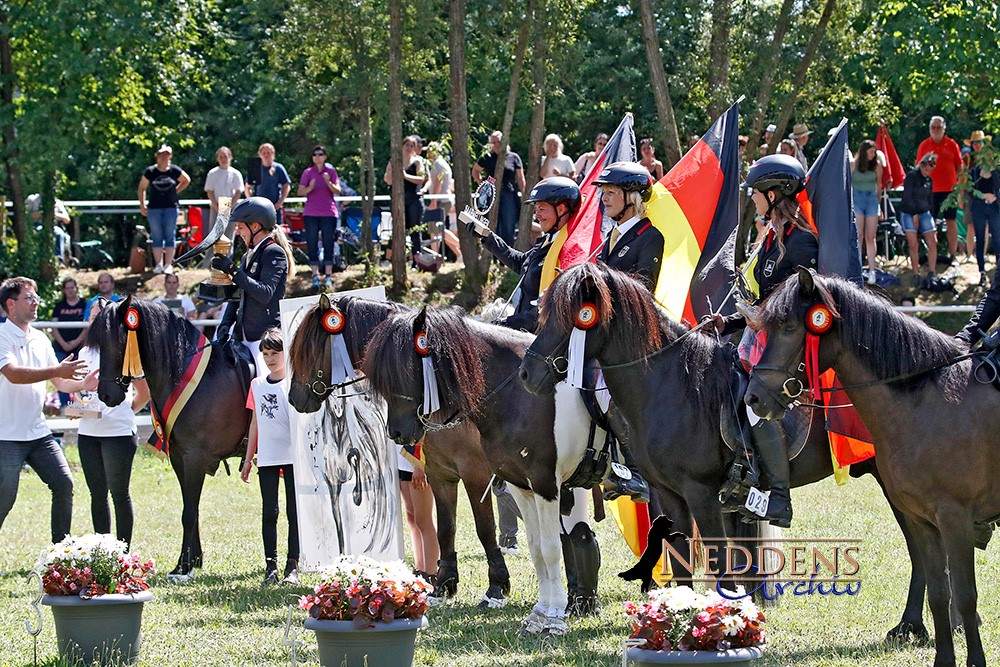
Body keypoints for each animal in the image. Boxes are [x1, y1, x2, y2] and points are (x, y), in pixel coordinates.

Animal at [89, 294, 249, 576]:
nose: (106, 395)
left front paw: (185, 565)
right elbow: (191, 508)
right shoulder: (179, 457)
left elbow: (189, 512)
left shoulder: (195, 458)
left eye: (117, 343)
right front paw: (189, 560)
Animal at [288, 294, 508, 608]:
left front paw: (496, 586)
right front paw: (445, 583)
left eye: (309, 349)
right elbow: (446, 528)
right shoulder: (440, 474)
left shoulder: (475, 474)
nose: (294, 398)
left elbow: (485, 527)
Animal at [364, 306, 600, 636]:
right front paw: (539, 614)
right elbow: (534, 547)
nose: (397, 433)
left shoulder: (535, 482)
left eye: (407, 369)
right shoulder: (514, 484)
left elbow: (541, 544)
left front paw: (547, 615)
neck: (517, 393)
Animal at [520, 262, 948, 640]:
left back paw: (911, 626)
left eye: (576, 315)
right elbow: (682, 561)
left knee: (920, 549)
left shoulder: (702, 493)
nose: (527, 373)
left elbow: (718, 559)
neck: (670, 384)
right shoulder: (669, 494)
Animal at [748, 270, 996, 667]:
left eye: (788, 327)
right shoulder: (924, 520)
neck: (926, 400)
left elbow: (965, 594)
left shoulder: (954, 518)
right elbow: (940, 591)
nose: (754, 397)